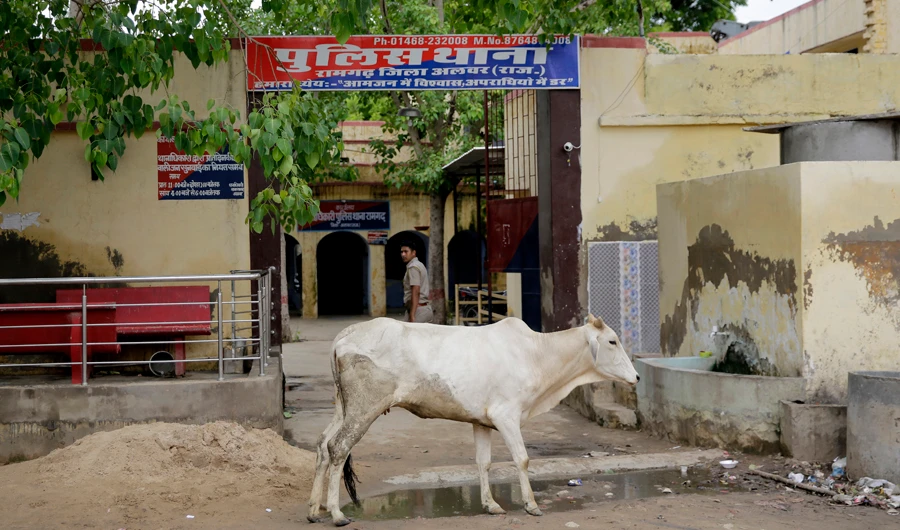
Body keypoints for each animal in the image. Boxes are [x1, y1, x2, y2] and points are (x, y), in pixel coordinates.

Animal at [306, 314, 640, 526]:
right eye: (612, 341)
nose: (636, 377)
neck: (536, 354)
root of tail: (349, 333)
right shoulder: (507, 416)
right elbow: (522, 459)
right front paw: (531, 505)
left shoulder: (483, 421)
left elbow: (484, 462)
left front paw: (491, 505)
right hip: (365, 408)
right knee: (338, 447)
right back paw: (336, 514)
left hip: (344, 407)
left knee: (322, 445)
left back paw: (314, 510)